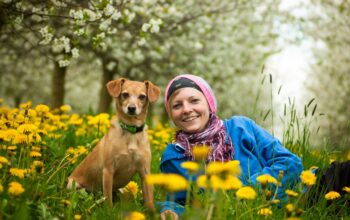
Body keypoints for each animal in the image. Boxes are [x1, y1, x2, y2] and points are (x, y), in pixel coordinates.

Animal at [67, 78, 160, 211]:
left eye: (142, 97)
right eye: (125, 94)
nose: (131, 108)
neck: (131, 131)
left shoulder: (145, 172)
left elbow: (149, 200)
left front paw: (153, 213)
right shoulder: (108, 170)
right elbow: (108, 199)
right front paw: (109, 212)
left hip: (122, 191)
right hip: (74, 185)